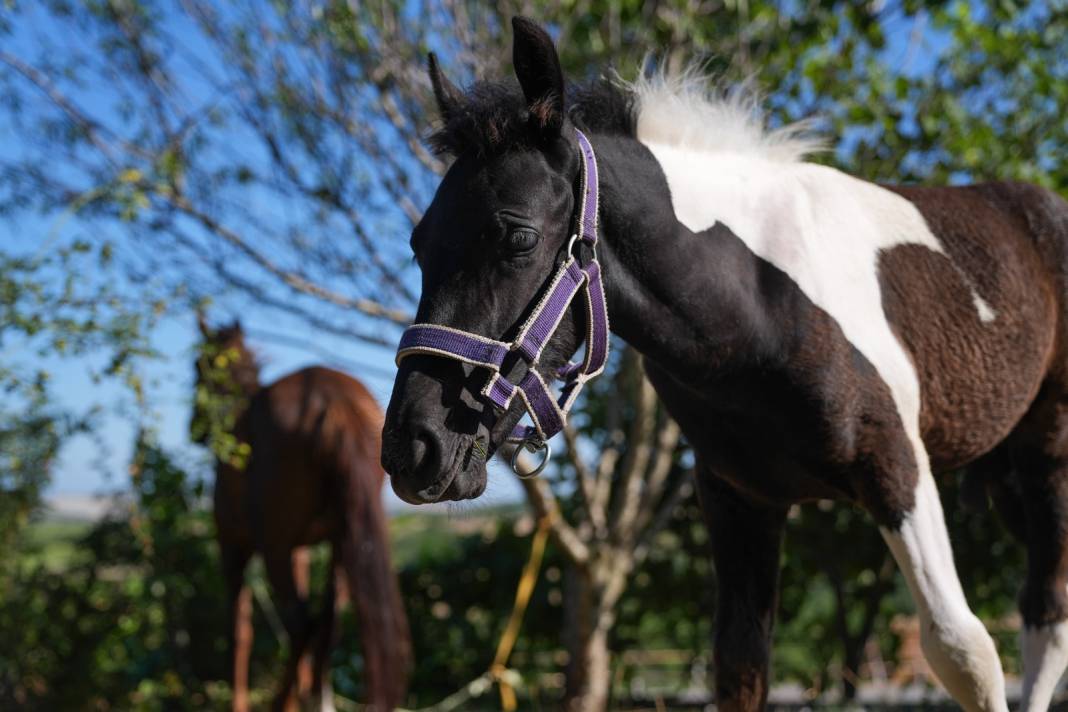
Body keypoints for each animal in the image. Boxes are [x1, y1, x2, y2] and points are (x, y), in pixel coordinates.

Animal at [192, 320, 407, 708]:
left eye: (198, 367)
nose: (195, 428)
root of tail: (332, 401)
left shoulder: (232, 548)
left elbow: (239, 631)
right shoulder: (301, 551)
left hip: (274, 548)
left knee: (300, 623)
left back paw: (284, 702)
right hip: (343, 540)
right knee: (328, 621)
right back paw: (316, 697)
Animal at [382, 15, 1068, 712]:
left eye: (519, 236)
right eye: (418, 244)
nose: (413, 449)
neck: (757, 311)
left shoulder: (898, 466)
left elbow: (964, 650)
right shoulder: (740, 501)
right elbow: (738, 667)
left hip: (1048, 456)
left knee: (1045, 616)